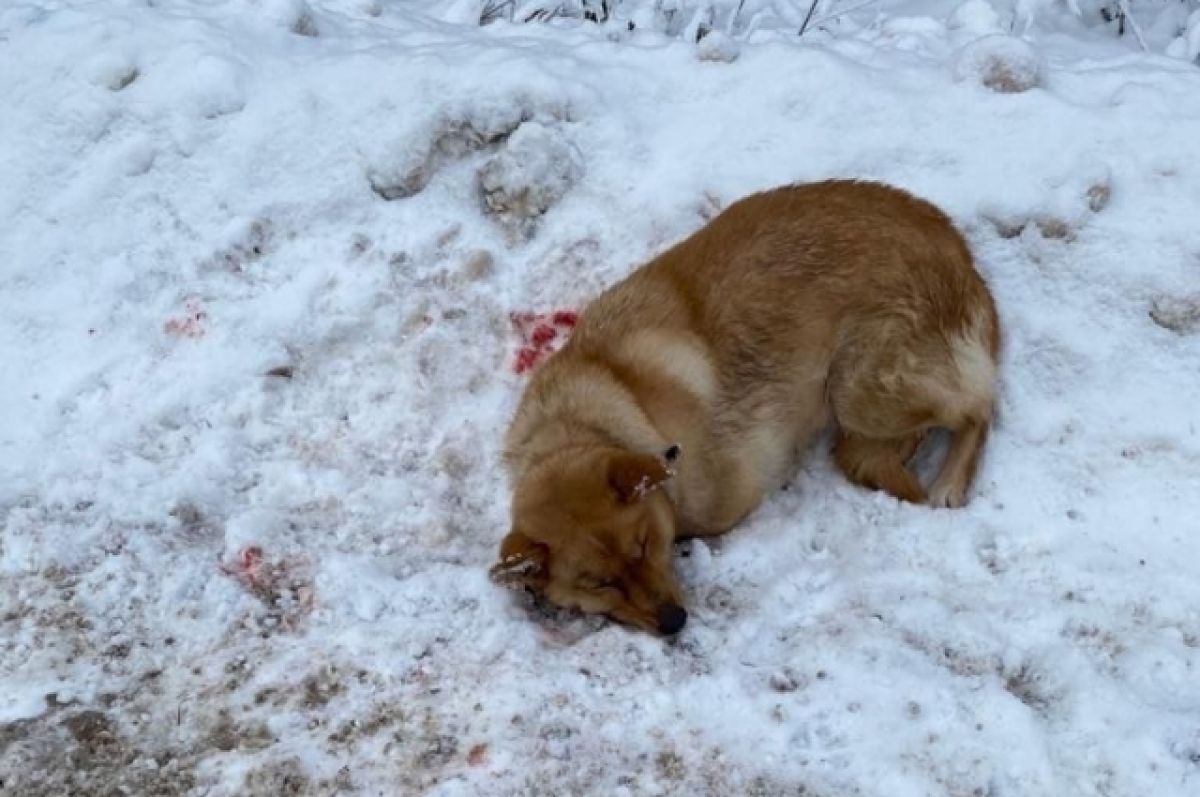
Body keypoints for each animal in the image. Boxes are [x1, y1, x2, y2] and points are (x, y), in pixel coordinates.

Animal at [487, 178, 1003, 633]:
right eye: (599, 583)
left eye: (644, 545)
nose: (675, 623)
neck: (586, 421)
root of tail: (955, 244)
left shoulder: (728, 498)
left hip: (857, 387)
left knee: (978, 404)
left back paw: (949, 480)